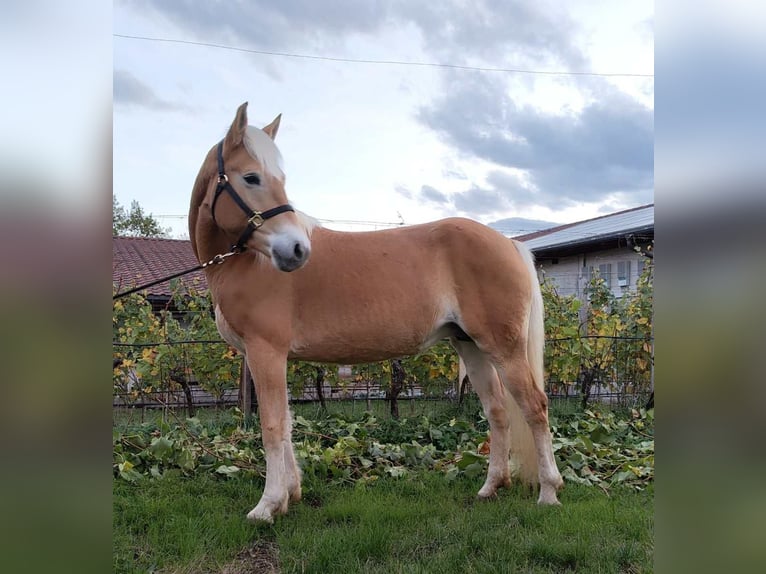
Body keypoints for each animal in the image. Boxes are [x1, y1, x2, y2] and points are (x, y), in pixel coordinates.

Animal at [190, 101, 568, 524]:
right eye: (252, 177)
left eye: (276, 178)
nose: (297, 250)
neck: (249, 263)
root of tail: (509, 243)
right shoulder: (273, 357)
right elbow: (285, 423)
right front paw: (291, 495)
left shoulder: (265, 352)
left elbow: (272, 426)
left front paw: (267, 505)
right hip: (471, 346)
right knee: (497, 411)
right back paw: (490, 487)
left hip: (503, 347)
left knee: (534, 406)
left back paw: (549, 492)